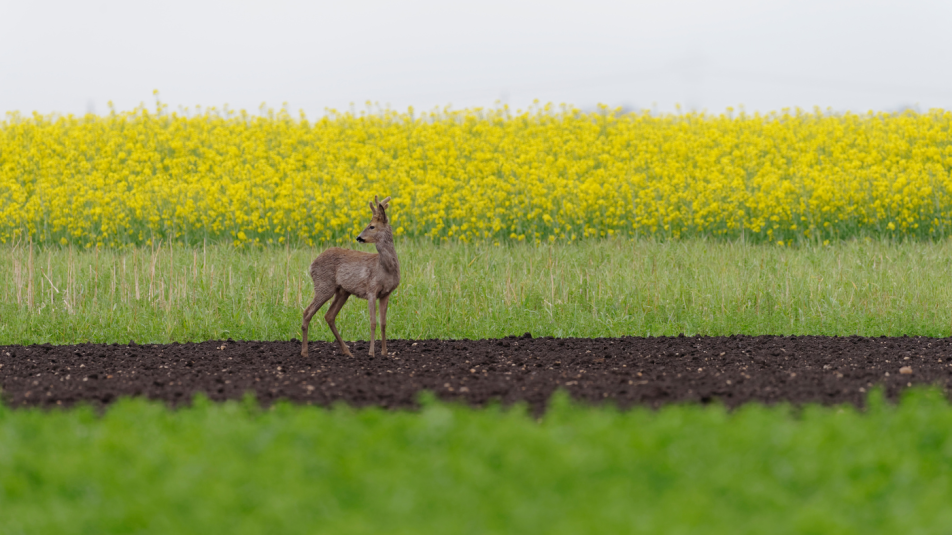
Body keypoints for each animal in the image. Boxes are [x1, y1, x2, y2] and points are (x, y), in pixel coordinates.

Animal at [302, 195, 398, 358]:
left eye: (371, 226)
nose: (358, 237)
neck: (386, 268)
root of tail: (311, 265)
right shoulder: (371, 289)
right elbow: (373, 322)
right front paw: (371, 353)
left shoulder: (386, 293)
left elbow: (383, 323)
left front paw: (385, 353)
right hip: (324, 286)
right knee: (307, 312)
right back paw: (304, 352)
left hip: (342, 291)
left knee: (329, 316)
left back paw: (347, 351)